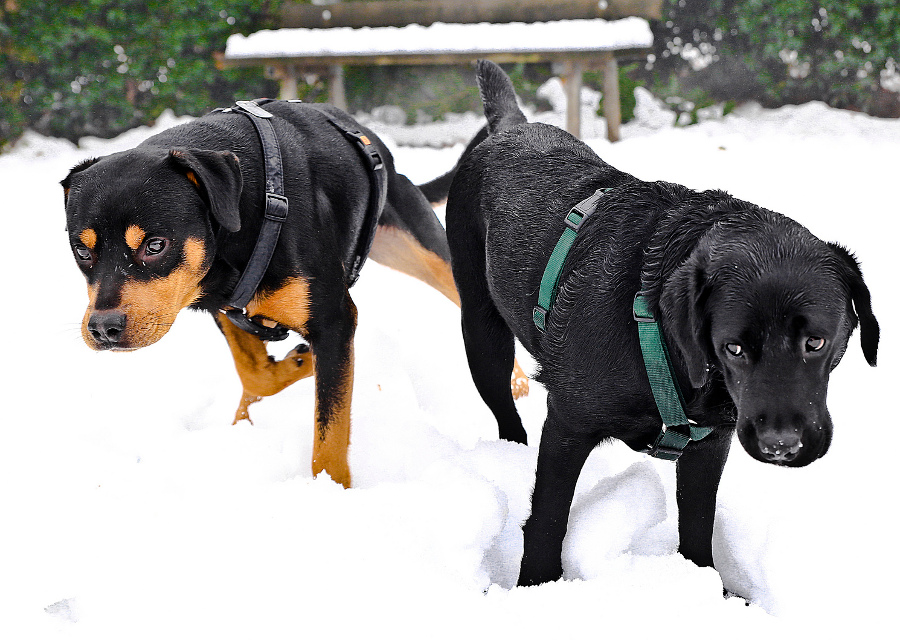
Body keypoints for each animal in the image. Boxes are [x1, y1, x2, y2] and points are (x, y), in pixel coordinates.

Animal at [61, 101, 520, 490]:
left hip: (424, 247)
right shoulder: (224, 305)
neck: (246, 209)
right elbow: (255, 374)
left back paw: (514, 381)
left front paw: (330, 492)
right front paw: (299, 361)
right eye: (82, 250)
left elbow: (328, 432)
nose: (103, 328)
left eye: (155, 245)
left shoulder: (334, 321)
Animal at [444, 62, 880, 588]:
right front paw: (537, 587)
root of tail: (509, 126)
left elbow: (697, 526)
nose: (782, 445)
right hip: (483, 337)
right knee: (506, 414)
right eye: (733, 348)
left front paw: (704, 585)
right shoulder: (569, 423)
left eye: (816, 341)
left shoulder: (710, 442)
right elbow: (548, 517)